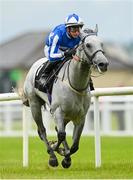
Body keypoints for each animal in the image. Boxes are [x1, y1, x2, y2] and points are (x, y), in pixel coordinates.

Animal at [22, 27, 108, 168]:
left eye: (101, 44)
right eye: (88, 45)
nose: (103, 64)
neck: (76, 84)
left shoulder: (80, 117)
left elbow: (75, 144)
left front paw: (66, 157)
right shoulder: (58, 111)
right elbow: (61, 135)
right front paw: (56, 151)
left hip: (67, 116)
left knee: (56, 130)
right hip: (34, 104)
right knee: (43, 130)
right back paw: (52, 156)